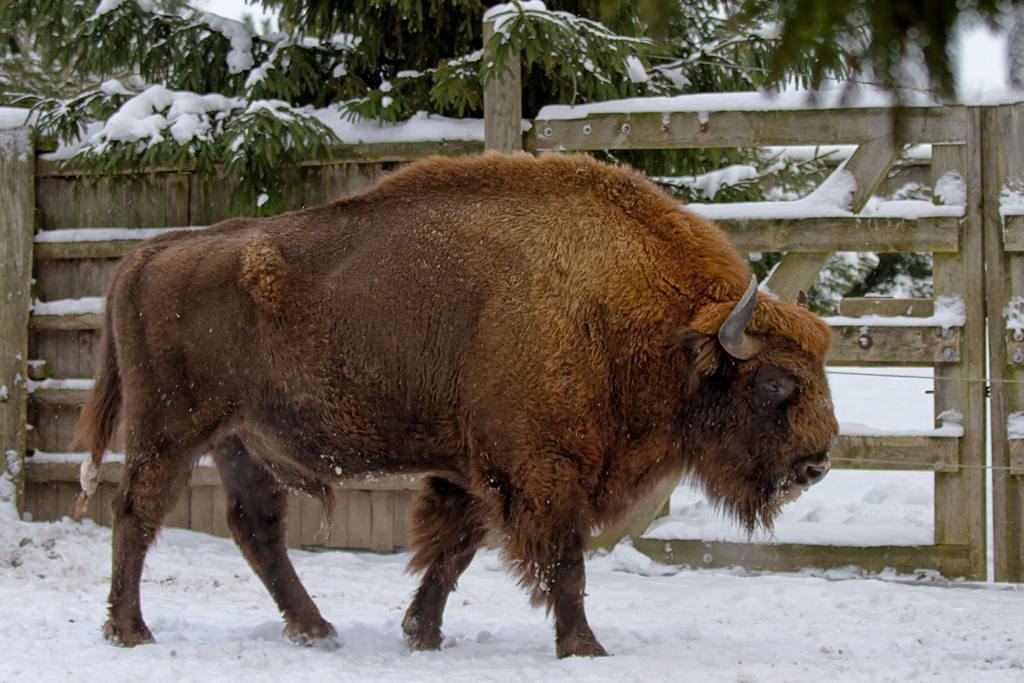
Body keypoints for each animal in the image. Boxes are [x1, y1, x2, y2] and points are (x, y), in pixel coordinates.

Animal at [74, 150, 839, 655]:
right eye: (776, 383)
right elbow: (563, 563)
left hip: (242, 441)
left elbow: (451, 552)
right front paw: (584, 648)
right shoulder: (537, 470)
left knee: (255, 528)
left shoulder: (473, 472)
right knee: (136, 514)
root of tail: (149, 253)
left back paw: (316, 629)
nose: (816, 463)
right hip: (170, 432)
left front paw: (423, 634)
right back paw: (131, 631)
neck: (640, 317)